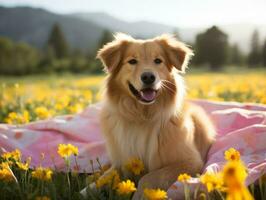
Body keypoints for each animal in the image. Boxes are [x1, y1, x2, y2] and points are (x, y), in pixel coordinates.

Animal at [96, 33, 215, 198]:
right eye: (132, 61)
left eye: (158, 61)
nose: (148, 77)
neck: (143, 116)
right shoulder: (121, 161)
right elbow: (103, 178)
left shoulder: (191, 161)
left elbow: (149, 177)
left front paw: (140, 195)